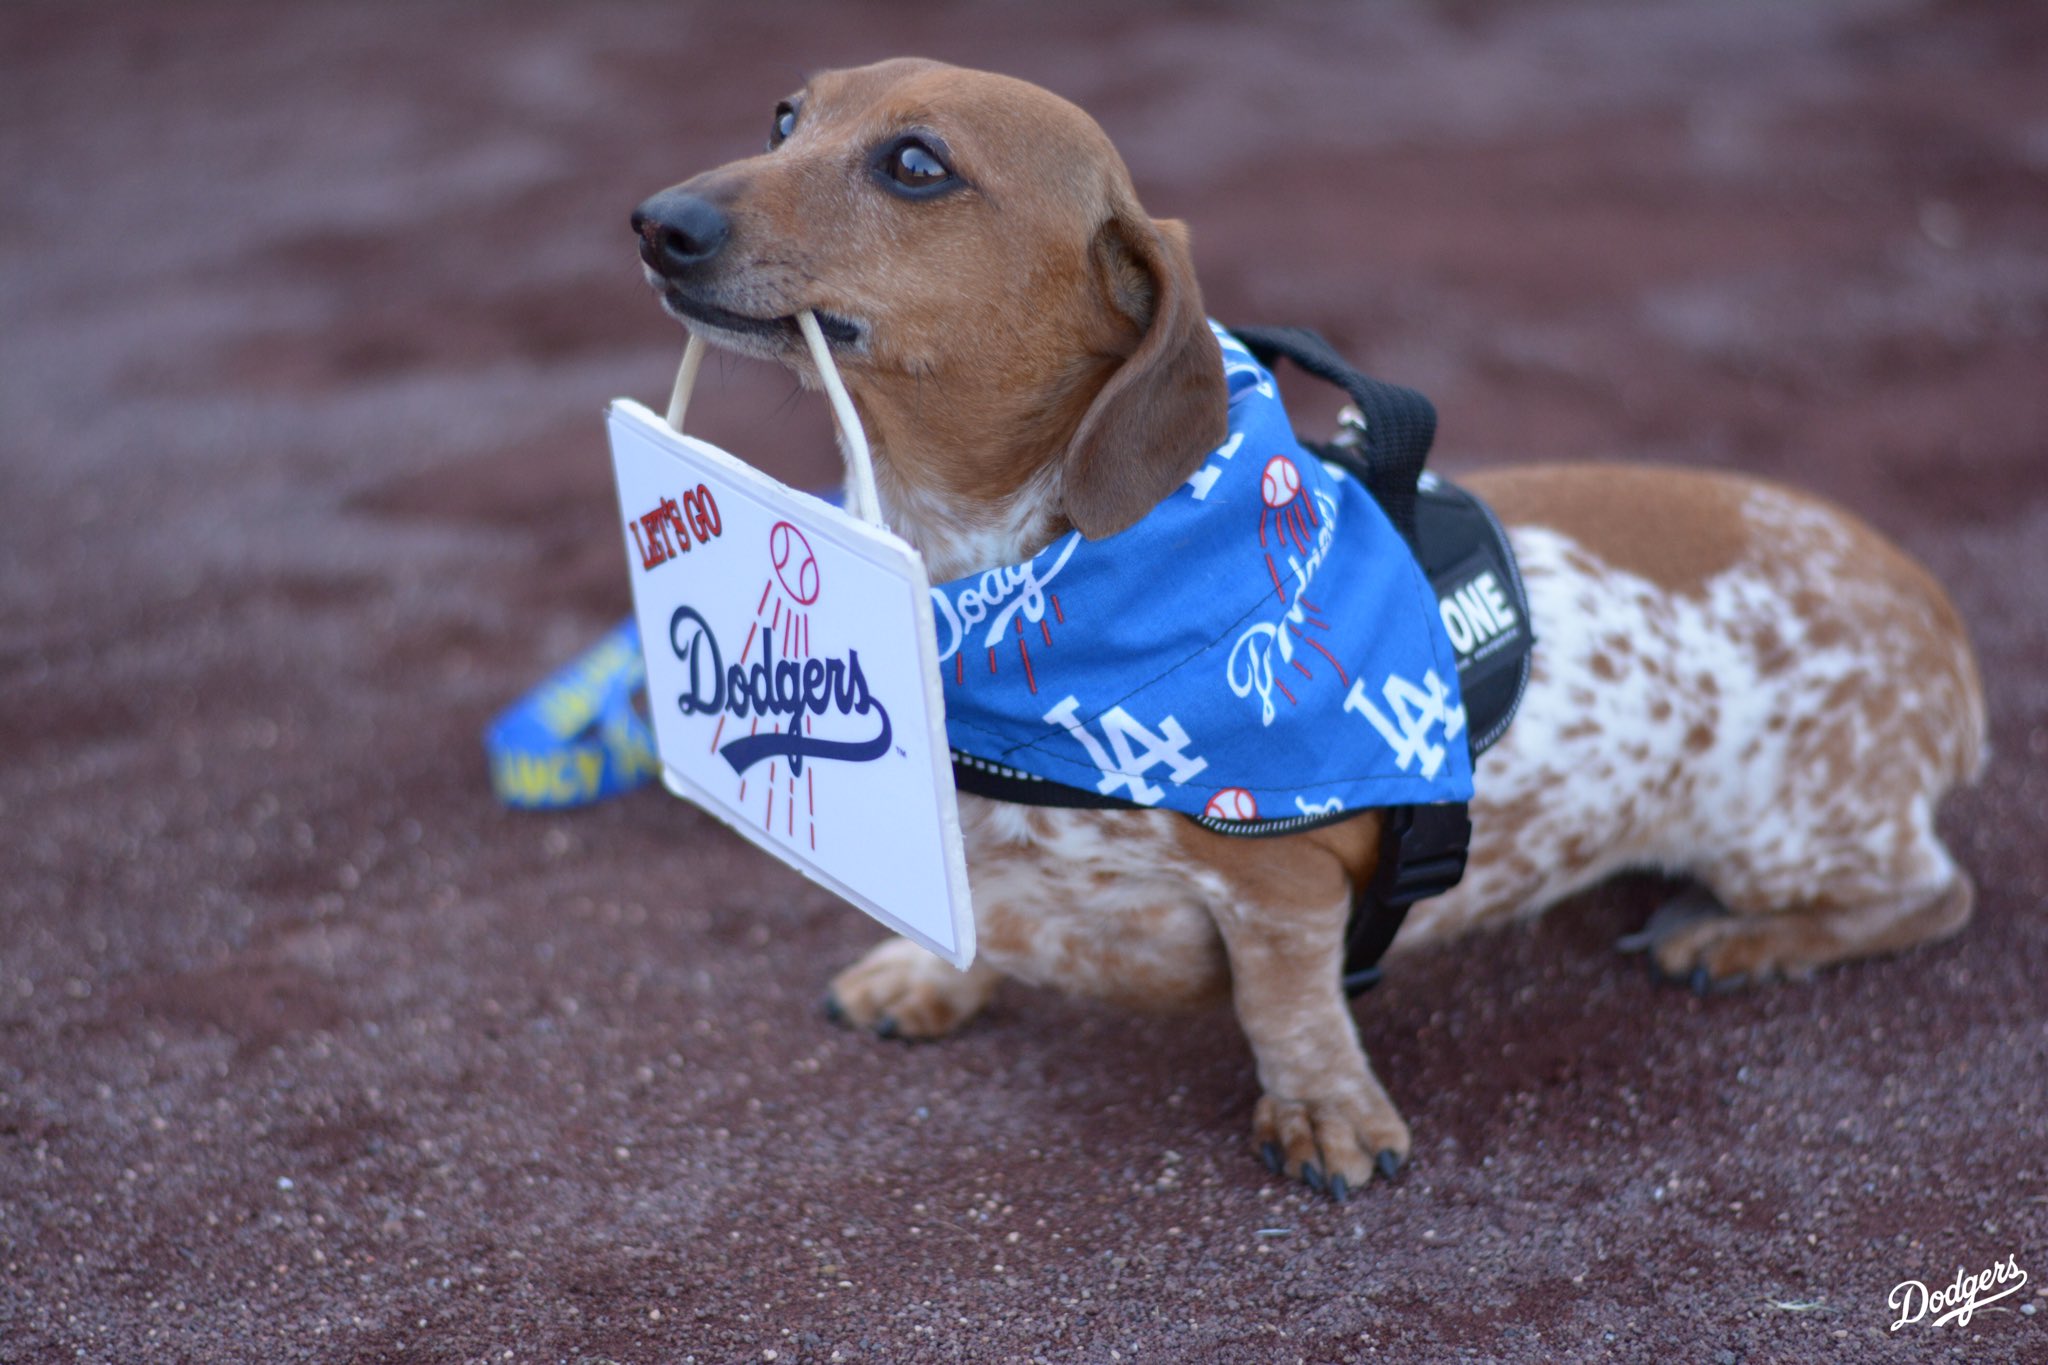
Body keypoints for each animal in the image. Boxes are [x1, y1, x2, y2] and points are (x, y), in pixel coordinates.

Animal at [634, 58, 1982, 1203]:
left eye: (915, 164)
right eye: (783, 118)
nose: (657, 220)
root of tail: (1929, 609)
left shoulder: (1277, 883)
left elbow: (1283, 1007)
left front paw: (1325, 1113)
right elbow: (959, 909)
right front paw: (922, 970)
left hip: (1789, 834)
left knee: (1935, 894)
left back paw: (1742, 944)